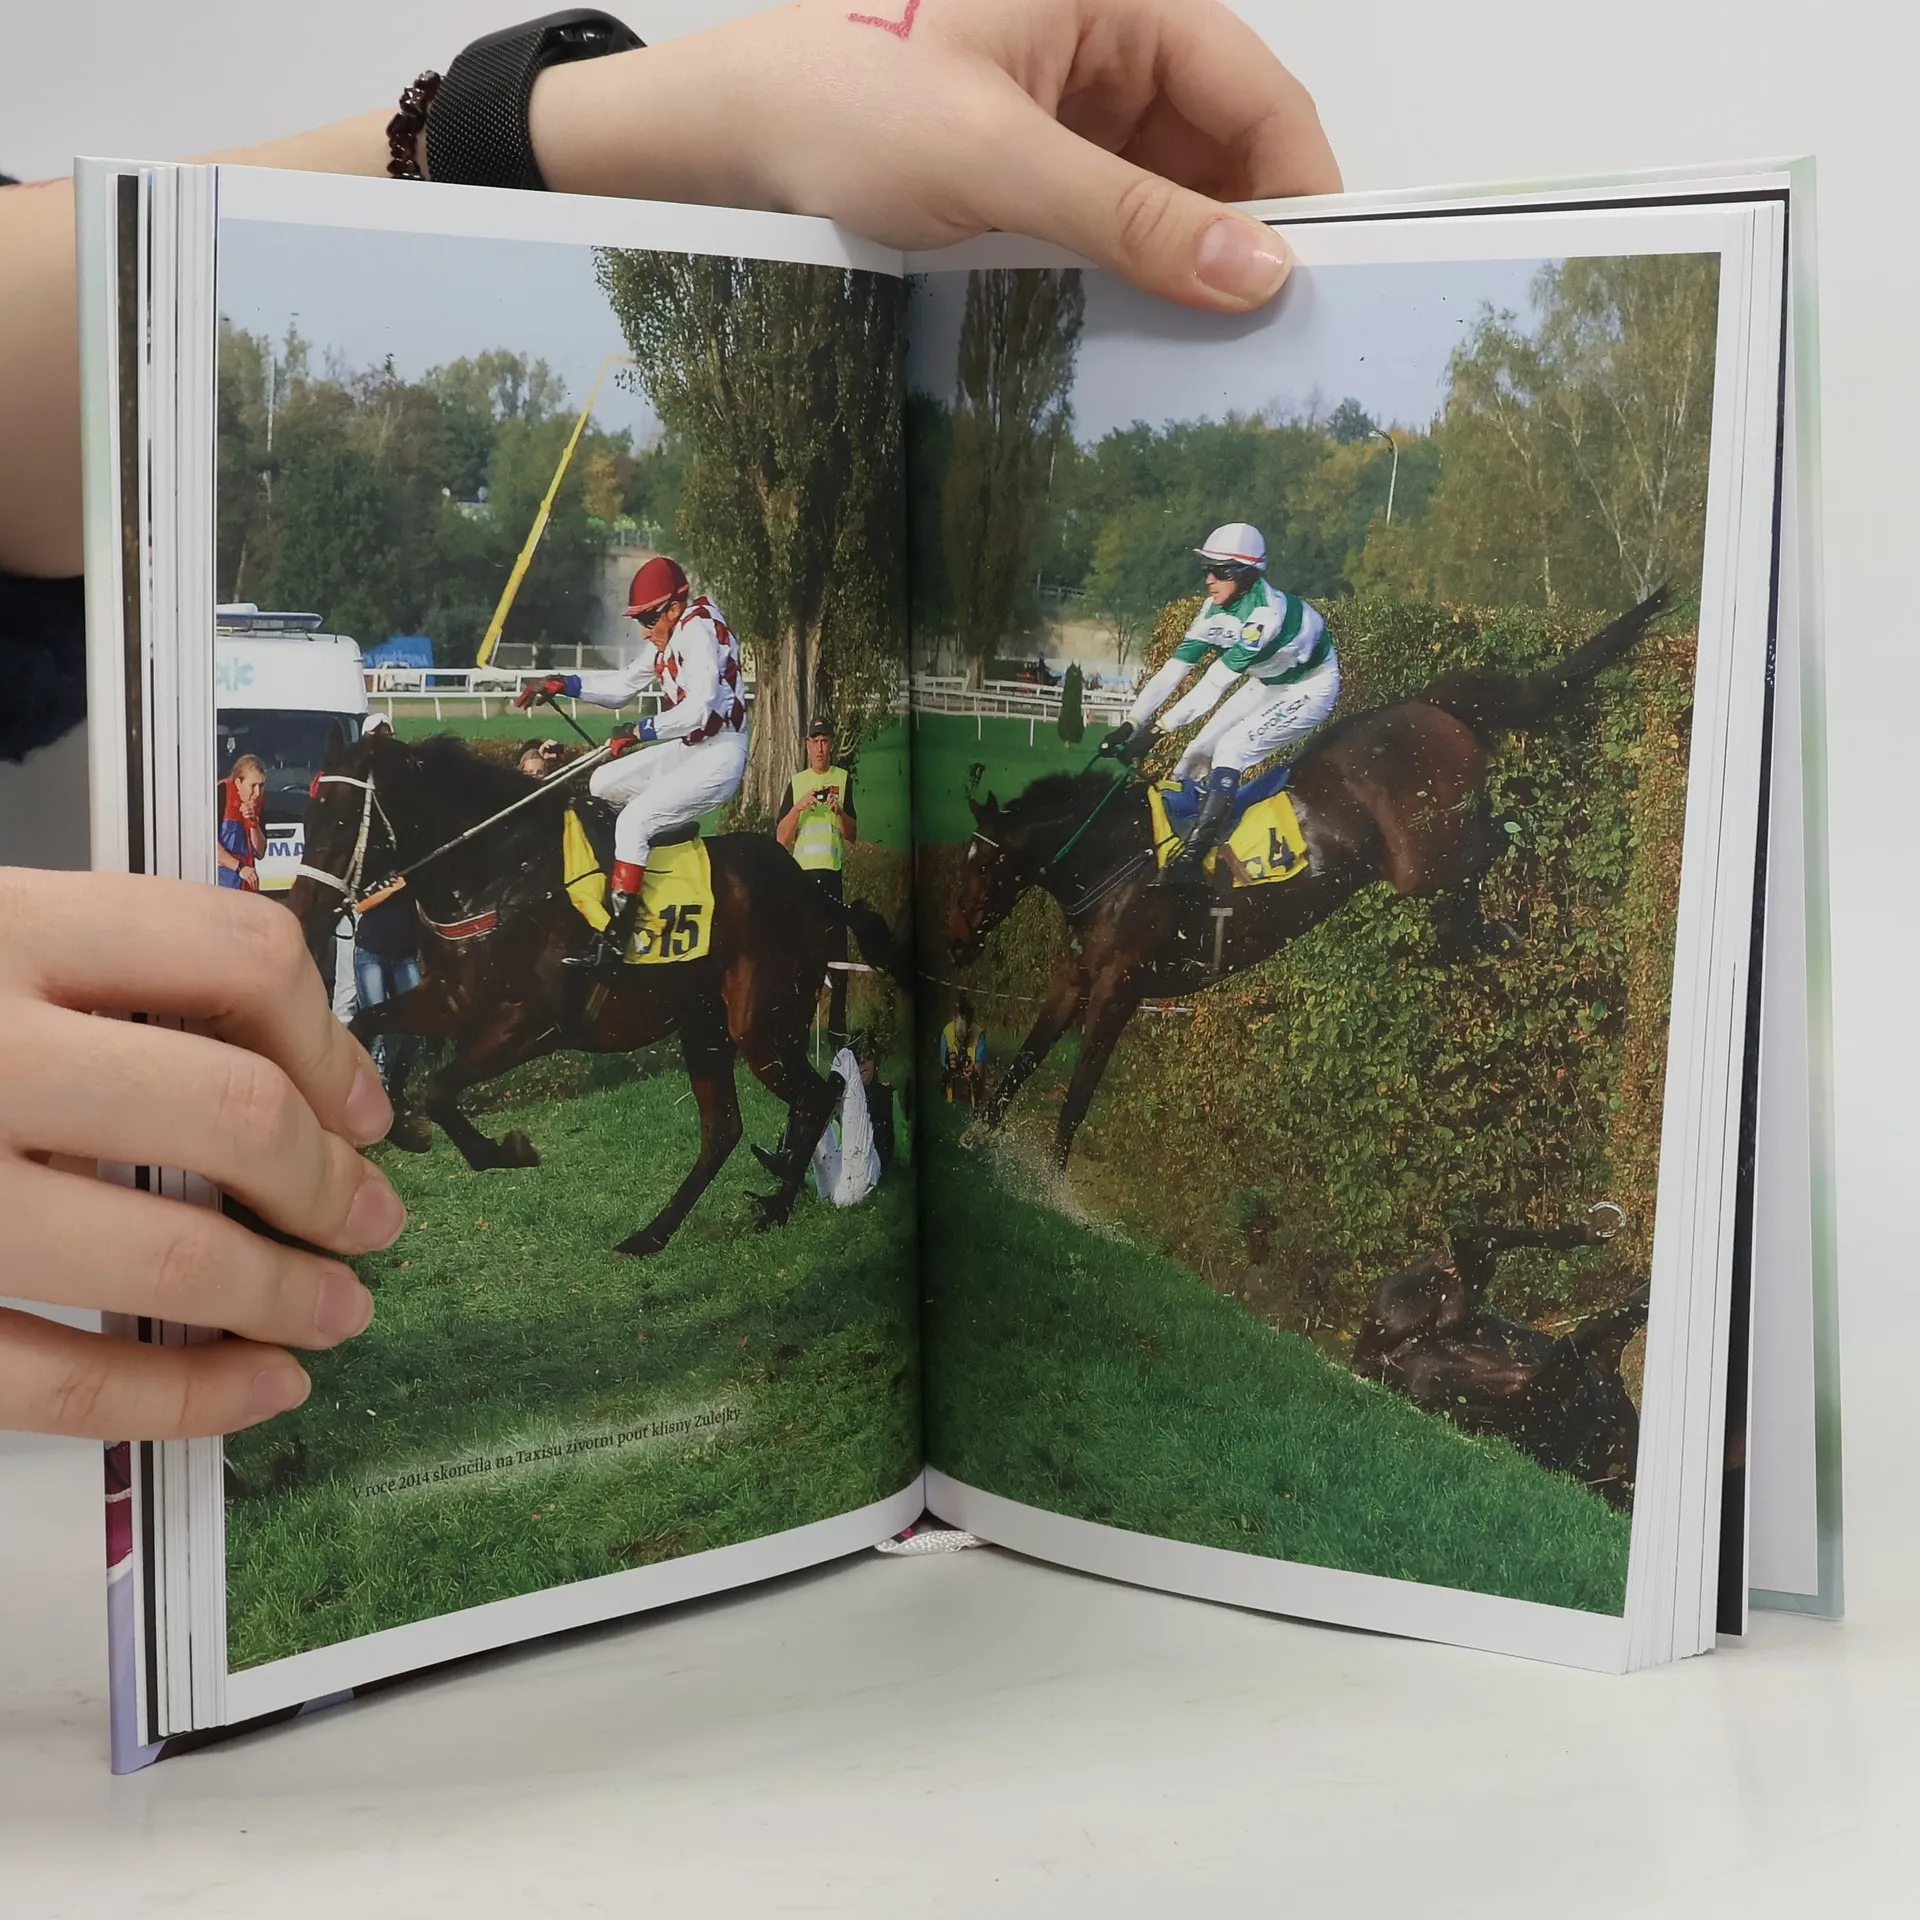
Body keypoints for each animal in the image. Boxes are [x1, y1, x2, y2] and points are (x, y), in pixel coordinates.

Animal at [285, 731, 903, 1258]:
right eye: (307, 817)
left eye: (341, 818)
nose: (301, 915)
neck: (500, 876)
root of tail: (816, 892)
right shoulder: (450, 999)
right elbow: (366, 1027)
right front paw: (396, 1123)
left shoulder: (532, 1024)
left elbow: (437, 1088)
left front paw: (504, 1150)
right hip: (704, 1027)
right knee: (725, 1128)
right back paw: (653, 1234)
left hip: (759, 1026)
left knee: (817, 1093)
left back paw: (777, 1201)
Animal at [946, 589, 1670, 1168]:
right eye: (964, 862)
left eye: (985, 863)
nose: (953, 943)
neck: (1117, 862)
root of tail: (1430, 703)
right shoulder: (1073, 976)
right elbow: (1027, 1057)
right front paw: (980, 1137)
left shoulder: (1119, 990)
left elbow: (1078, 1093)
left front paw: (1051, 1176)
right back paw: (1476, 932)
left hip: (1424, 855)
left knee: (1492, 840)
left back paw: (1496, 917)